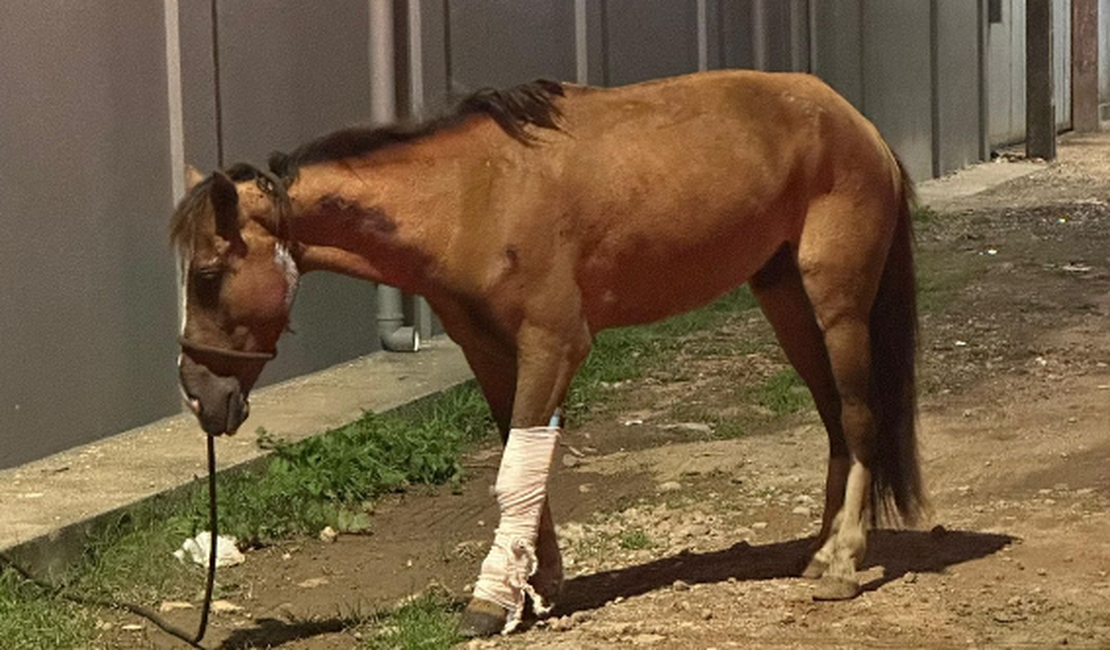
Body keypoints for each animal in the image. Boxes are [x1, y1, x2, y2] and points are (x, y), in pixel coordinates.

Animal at [171, 69, 925, 637]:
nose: (198, 394)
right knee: (835, 421)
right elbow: (521, 462)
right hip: (785, 301)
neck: (469, 195)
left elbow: (516, 472)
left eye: (206, 275)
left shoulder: (554, 343)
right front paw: (537, 583)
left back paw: (843, 564)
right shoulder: (488, 351)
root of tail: (857, 123)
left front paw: (492, 599)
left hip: (837, 303)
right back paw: (820, 551)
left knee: (859, 417)